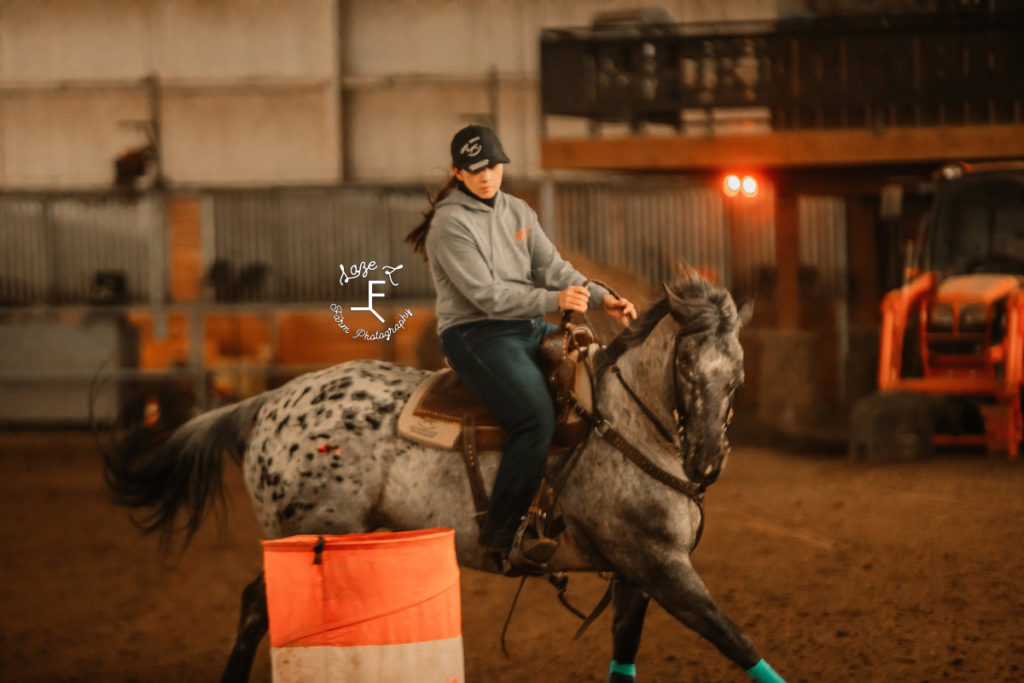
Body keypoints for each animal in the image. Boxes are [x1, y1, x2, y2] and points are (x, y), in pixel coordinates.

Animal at [105, 274, 782, 683]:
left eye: (740, 372)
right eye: (686, 363)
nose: (706, 463)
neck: (622, 422)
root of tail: (268, 403)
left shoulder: (636, 574)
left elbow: (627, 653)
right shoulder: (659, 565)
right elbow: (738, 642)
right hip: (309, 537)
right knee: (257, 605)